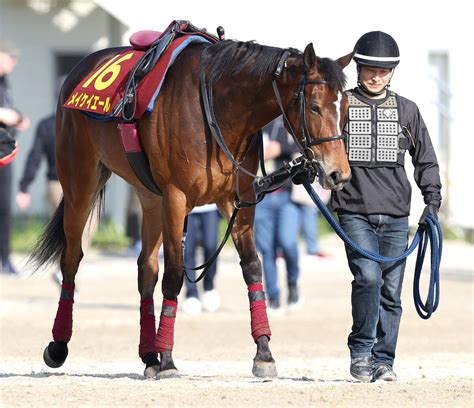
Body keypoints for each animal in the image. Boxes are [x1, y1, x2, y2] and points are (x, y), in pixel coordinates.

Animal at [31, 36, 352, 378]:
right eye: (314, 106)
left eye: (346, 108)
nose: (339, 173)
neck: (219, 110)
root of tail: (82, 67)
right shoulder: (176, 198)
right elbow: (174, 274)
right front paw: (168, 359)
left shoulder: (238, 200)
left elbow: (252, 267)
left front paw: (263, 353)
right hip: (80, 184)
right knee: (72, 259)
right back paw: (59, 345)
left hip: (150, 198)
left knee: (146, 268)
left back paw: (149, 354)